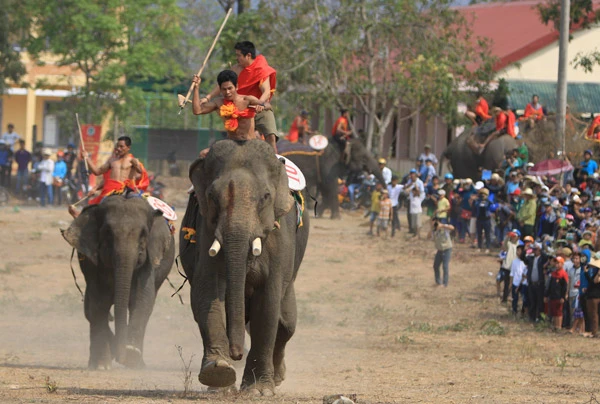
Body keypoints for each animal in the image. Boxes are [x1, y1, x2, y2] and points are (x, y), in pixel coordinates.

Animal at [61, 196, 175, 370]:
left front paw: (132, 358)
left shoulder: (149, 260)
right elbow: (98, 301)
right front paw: (103, 365)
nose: (122, 357)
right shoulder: (93, 262)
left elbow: (142, 299)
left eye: (143, 235)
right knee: (90, 308)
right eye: (107, 233)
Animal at [183, 139, 310, 394]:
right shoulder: (205, 228)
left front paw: (258, 390)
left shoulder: (279, 236)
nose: (236, 354)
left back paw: (277, 377)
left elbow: (268, 300)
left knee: (286, 325)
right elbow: (207, 291)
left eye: (265, 196)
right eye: (211, 196)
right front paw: (219, 374)